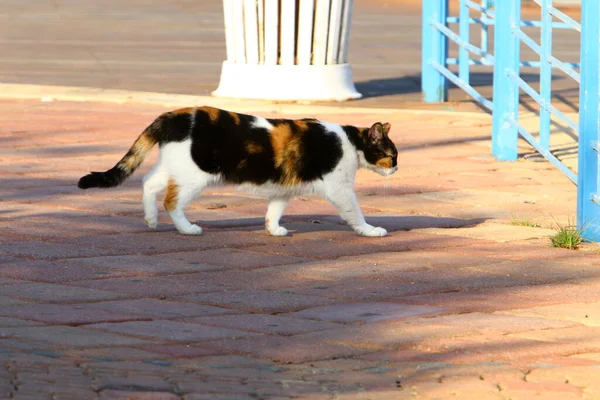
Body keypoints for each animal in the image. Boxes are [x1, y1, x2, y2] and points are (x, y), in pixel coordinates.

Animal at [78, 105, 398, 238]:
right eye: (392, 155)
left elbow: (274, 210)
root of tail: (173, 115)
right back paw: (187, 228)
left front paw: (273, 230)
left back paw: (151, 220)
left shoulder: (284, 186)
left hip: (175, 164)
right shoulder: (340, 189)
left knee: (148, 182)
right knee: (171, 200)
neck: (350, 140)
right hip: (195, 174)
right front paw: (370, 230)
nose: (396, 168)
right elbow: (355, 212)